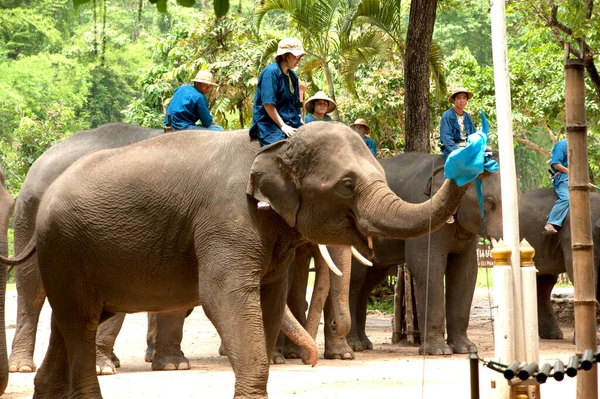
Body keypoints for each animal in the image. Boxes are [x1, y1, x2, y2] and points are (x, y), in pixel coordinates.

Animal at [1, 123, 464, 398]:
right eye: (347, 185)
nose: (466, 155)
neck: (277, 145)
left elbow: (269, 302)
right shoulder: (225, 219)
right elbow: (222, 295)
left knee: (72, 324)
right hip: (65, 249)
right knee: (77, 321)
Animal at [344, 152, 504, 356]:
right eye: (490, 202)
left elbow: (465, 272)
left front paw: (465, 348)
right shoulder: (425, 216)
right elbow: (428, 267)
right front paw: (438, 352)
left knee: (368, 282)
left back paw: (365, 345)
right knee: (355, 279)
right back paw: (354, 346)